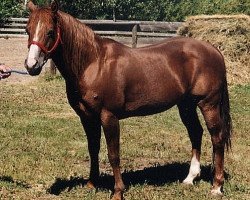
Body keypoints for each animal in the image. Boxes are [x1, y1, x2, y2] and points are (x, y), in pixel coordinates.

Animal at [24, 0, 231, 199]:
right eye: (27, 29)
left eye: (50, 32)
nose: (31, 66)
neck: (93, 64)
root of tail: (214, 51)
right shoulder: (87, 117)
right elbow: (93, 149)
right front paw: (91, 184)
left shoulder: (109, 117)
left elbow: (113, 154)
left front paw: (118, 191)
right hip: (186, 105)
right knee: (196, 133)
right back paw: (190, 179)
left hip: (208, 104)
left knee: (217, 138)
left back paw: (216, 187)